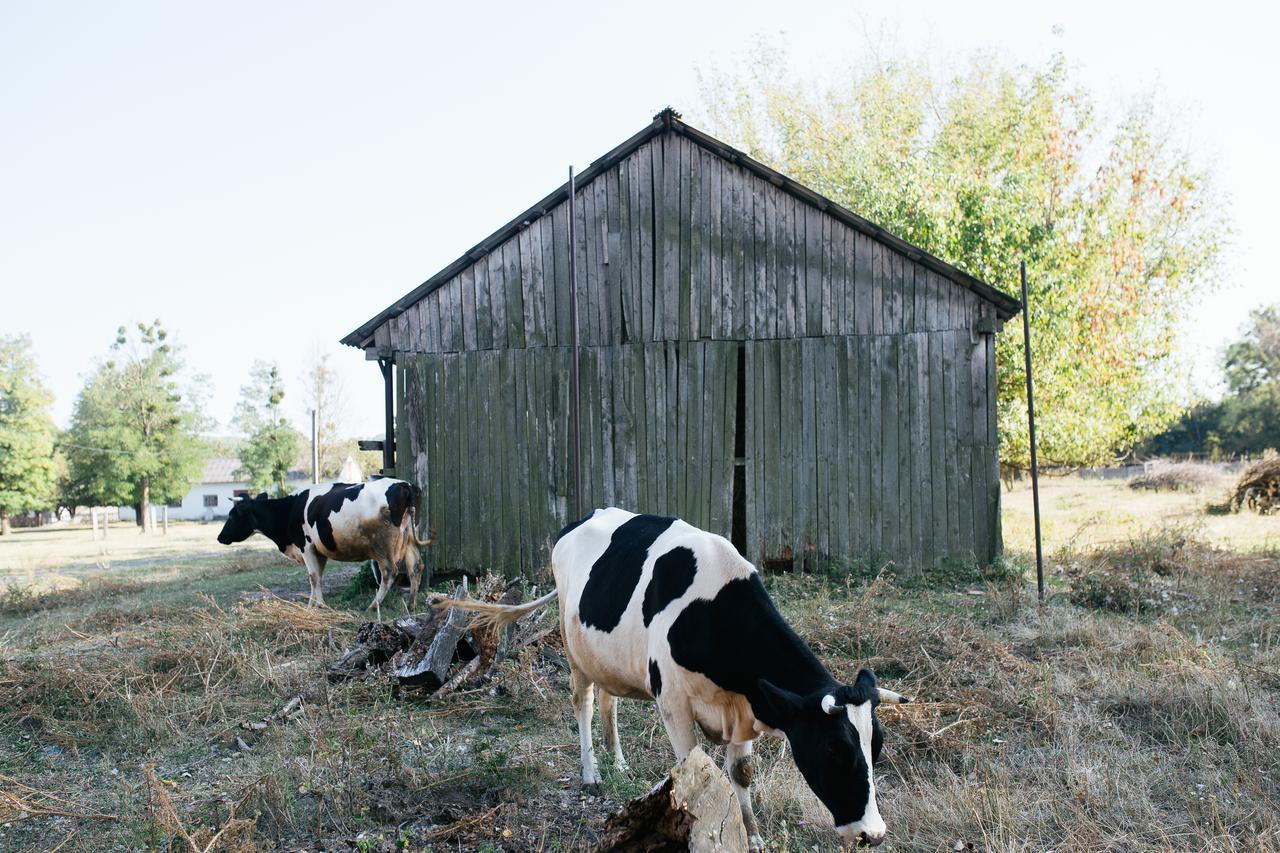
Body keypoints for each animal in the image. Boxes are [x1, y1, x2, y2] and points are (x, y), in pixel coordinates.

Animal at [217, 473, 432, 614]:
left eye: (233, 514)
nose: (220, 537)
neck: (290, 508)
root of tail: (403, 484)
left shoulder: (306, 546)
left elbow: (313, 577)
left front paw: (318, 605)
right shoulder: (318, 551)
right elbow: (318, 576)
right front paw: (313, 604)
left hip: (382, 545)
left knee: (389, 572)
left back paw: (374, 605)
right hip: (409, 537)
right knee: (416, 567)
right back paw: (411, 604)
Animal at [440, 504, 911, 845]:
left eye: (877, 747)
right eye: (836, 750)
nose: (873, 834)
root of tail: (581, 519)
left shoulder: (744, 705)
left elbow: (741, 774)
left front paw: (753, 836)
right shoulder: (674, 702)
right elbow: (693, 772)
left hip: (611, 656)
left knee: (609, 701)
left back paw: (619, 761)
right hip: (575, 652)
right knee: (584, 703)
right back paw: (592, 772)